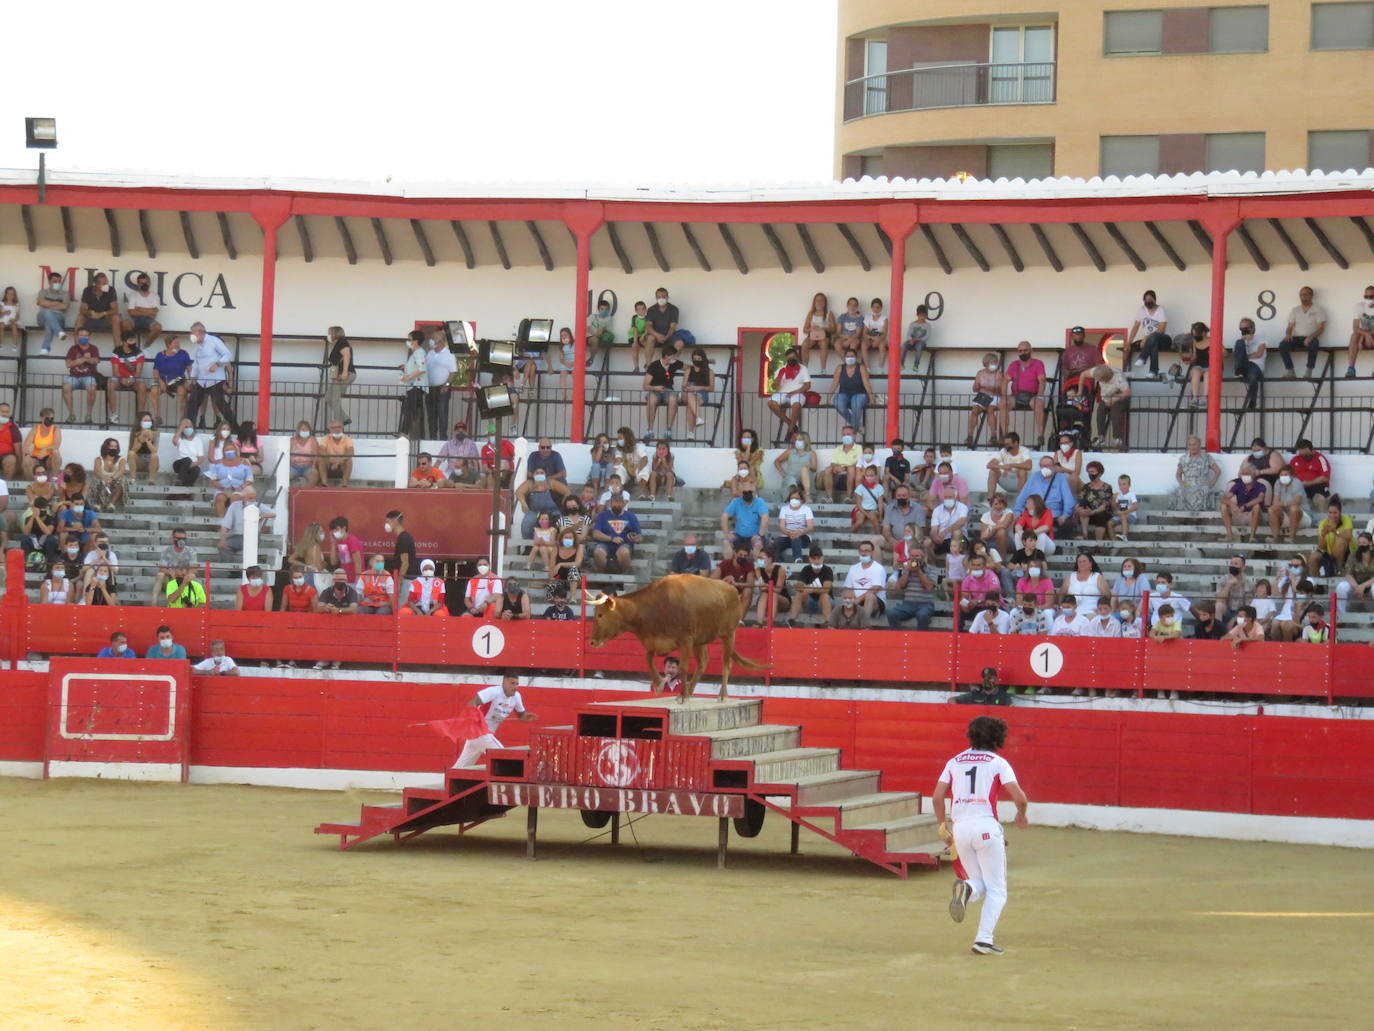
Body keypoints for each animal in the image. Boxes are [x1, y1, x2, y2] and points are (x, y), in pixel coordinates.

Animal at [585, 574, 769, 703]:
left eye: (600, 615)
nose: (592, 642)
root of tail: (732, 589)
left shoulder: (685, 640)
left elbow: (683, 668)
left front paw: (679, 695)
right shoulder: (655, 641)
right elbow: (648, 659)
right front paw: (660, 685)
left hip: (729, 634)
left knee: (726, 664)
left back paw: (721, 695)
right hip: (700, 640)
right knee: (703, 662)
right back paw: (690, 692)